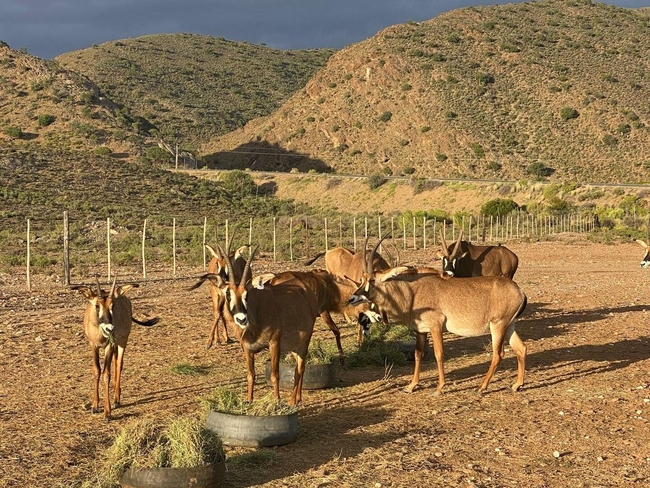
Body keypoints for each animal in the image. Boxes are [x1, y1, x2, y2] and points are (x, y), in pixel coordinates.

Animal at [72, 276, 159, 418]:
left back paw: (117, 398)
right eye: (97, 305)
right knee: (115, 361)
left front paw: (107, 412)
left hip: (122, 342)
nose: (109, 328)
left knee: (119, 364)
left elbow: (106, 373)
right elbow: (97, 370)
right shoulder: (93, 346)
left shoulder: (109, 346)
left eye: (113, 306)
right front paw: (95, 406)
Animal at [346, 240, 524, 396]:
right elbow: (418, 355)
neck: (413, 292)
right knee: (521, 348)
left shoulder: (436, 327)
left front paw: (439, 388)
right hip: (509, 326)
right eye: (362, 279)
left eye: (372, 280)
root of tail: (519, 291)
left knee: (498, 354)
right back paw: (516, 385)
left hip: (498, 326)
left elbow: (439, 354)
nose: (352, 298)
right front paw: (411, 386)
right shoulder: (421, 330)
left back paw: (481, 388)